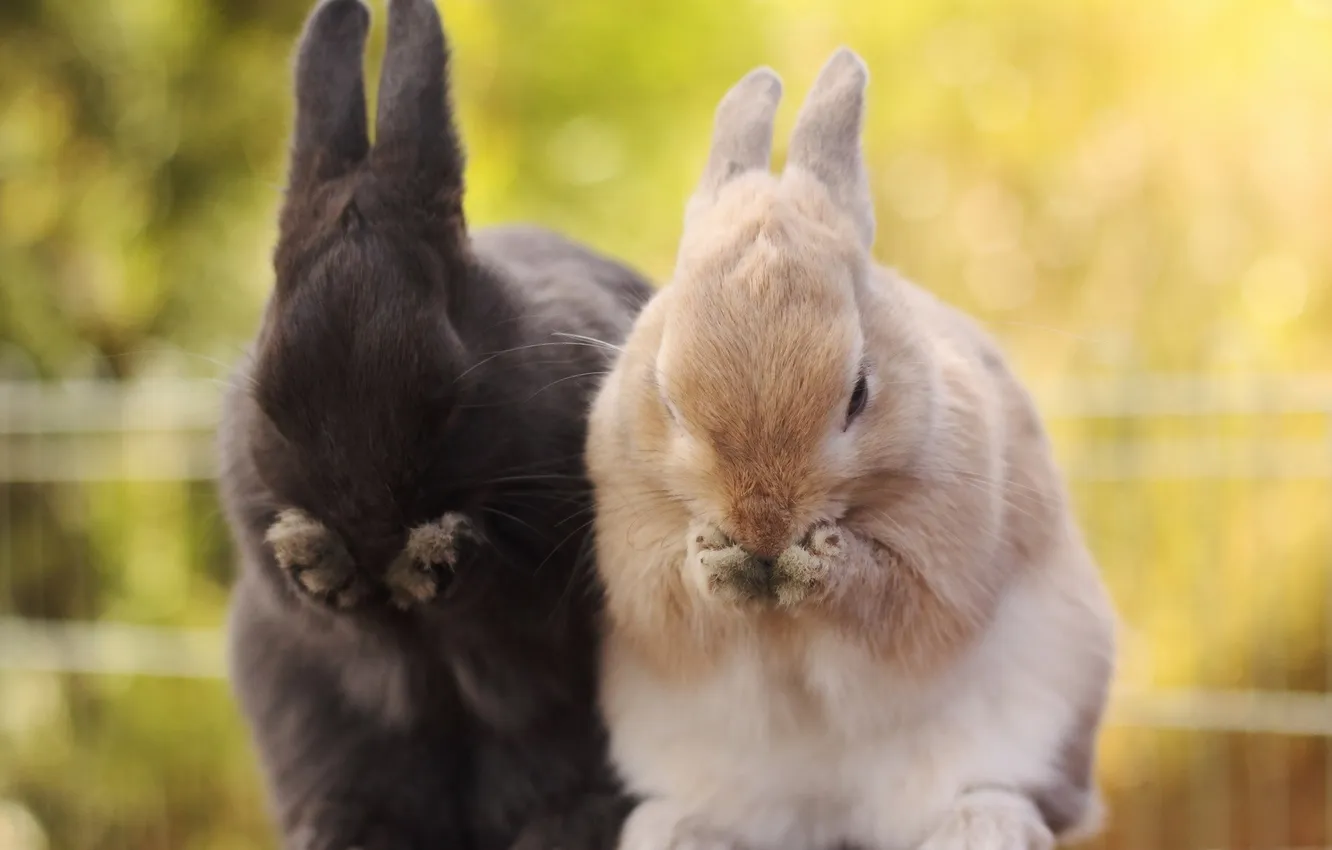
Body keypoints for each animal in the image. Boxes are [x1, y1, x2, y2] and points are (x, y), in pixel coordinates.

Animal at [217, 1, 654, 848]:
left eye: (448, 395)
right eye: (271, 402)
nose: (369, 528)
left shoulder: (551, 569)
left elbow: (505, 594)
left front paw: (434, 557)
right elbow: (326, 610)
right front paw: (317, 558)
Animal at [585, 48, 1116, 850]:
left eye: (860, 393)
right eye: (666, 399)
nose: (762, 525)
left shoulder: (941, 563)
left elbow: (889, 596)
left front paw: (818, 562)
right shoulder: (636, 563)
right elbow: (676, 600)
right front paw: (719, 561)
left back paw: (982, 824)